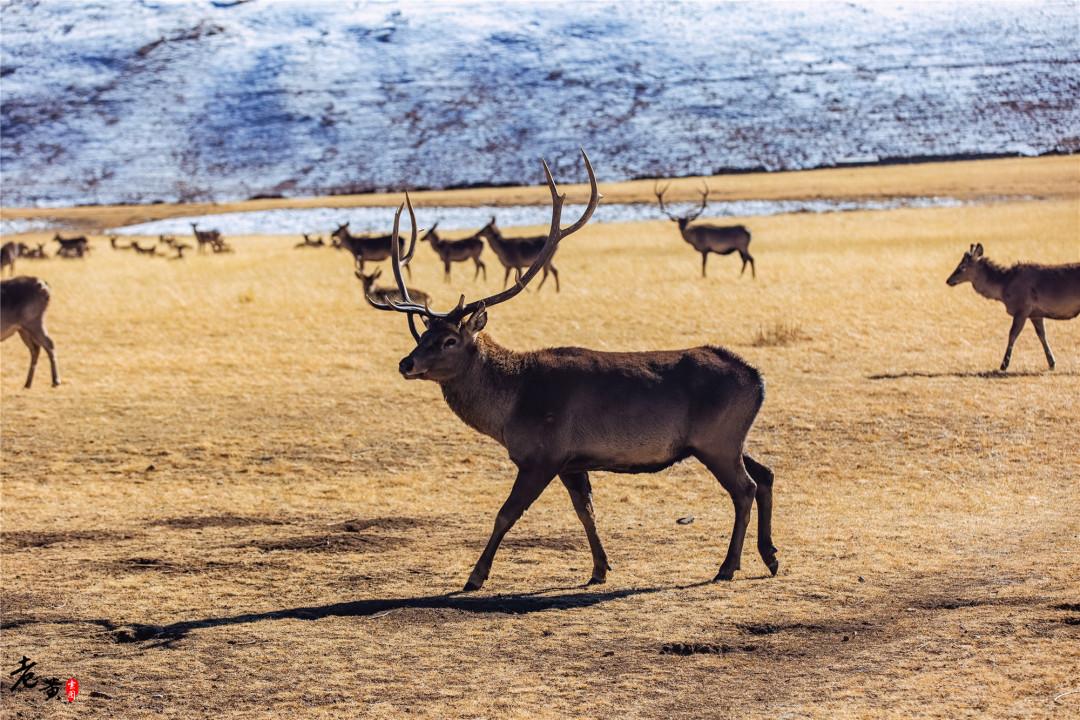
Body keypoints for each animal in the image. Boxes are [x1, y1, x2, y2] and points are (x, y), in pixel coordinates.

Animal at [367, 151, 781, 591]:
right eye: (423, 334)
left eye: (449, 340)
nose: (406, 363)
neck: (509, 410)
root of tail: (757, 379)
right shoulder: (573, 462)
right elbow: (586, 512)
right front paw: (600, 569)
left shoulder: (543, 455)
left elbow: (505, 514)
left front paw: (475, 576)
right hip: (728, 438)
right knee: (766, 474)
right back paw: (770, 556)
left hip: (716, 440)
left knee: (745, 488)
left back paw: (728, 566)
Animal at [946, 245, 1080, 375]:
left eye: (962, 266)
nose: (948, 280)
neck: (1003, 287)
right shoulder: (1035, 314)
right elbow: (1042, 335)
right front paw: (1052, 363)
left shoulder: (1022, 308)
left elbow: (1012, 334)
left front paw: (1003, 365)